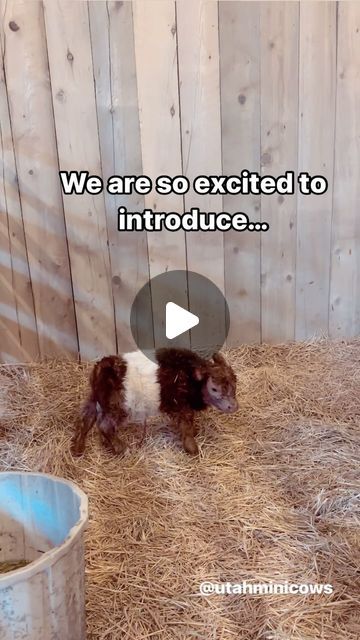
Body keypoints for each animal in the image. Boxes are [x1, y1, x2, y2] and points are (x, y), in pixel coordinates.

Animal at [71, 348, 238, 458]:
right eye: (214, 388)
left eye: (234, 383)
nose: (234, 406)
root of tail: (101, 367)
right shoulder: (180, 406)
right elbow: (186, 425)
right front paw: (193, 449)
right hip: (117, 407)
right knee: (104, 425)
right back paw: (122, 449)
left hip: (94, 400)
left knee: (86, 419)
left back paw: (79, 449)